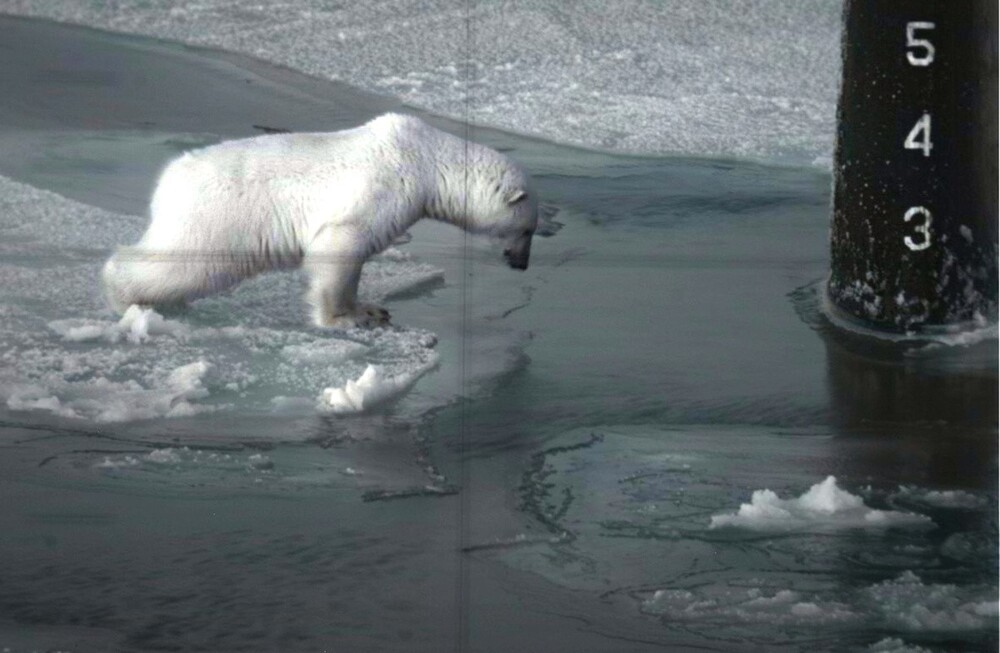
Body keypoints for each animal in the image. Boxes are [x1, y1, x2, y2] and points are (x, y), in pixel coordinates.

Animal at [101, 113, 540, 326]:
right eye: (528, 229)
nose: (522, 264)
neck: (428, 160)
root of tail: (170, 178)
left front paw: (371, 310)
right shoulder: (384, 186)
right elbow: (341, 243)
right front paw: (345, 320)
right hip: (216, 217)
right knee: (185, 264)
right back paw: (124, 295)